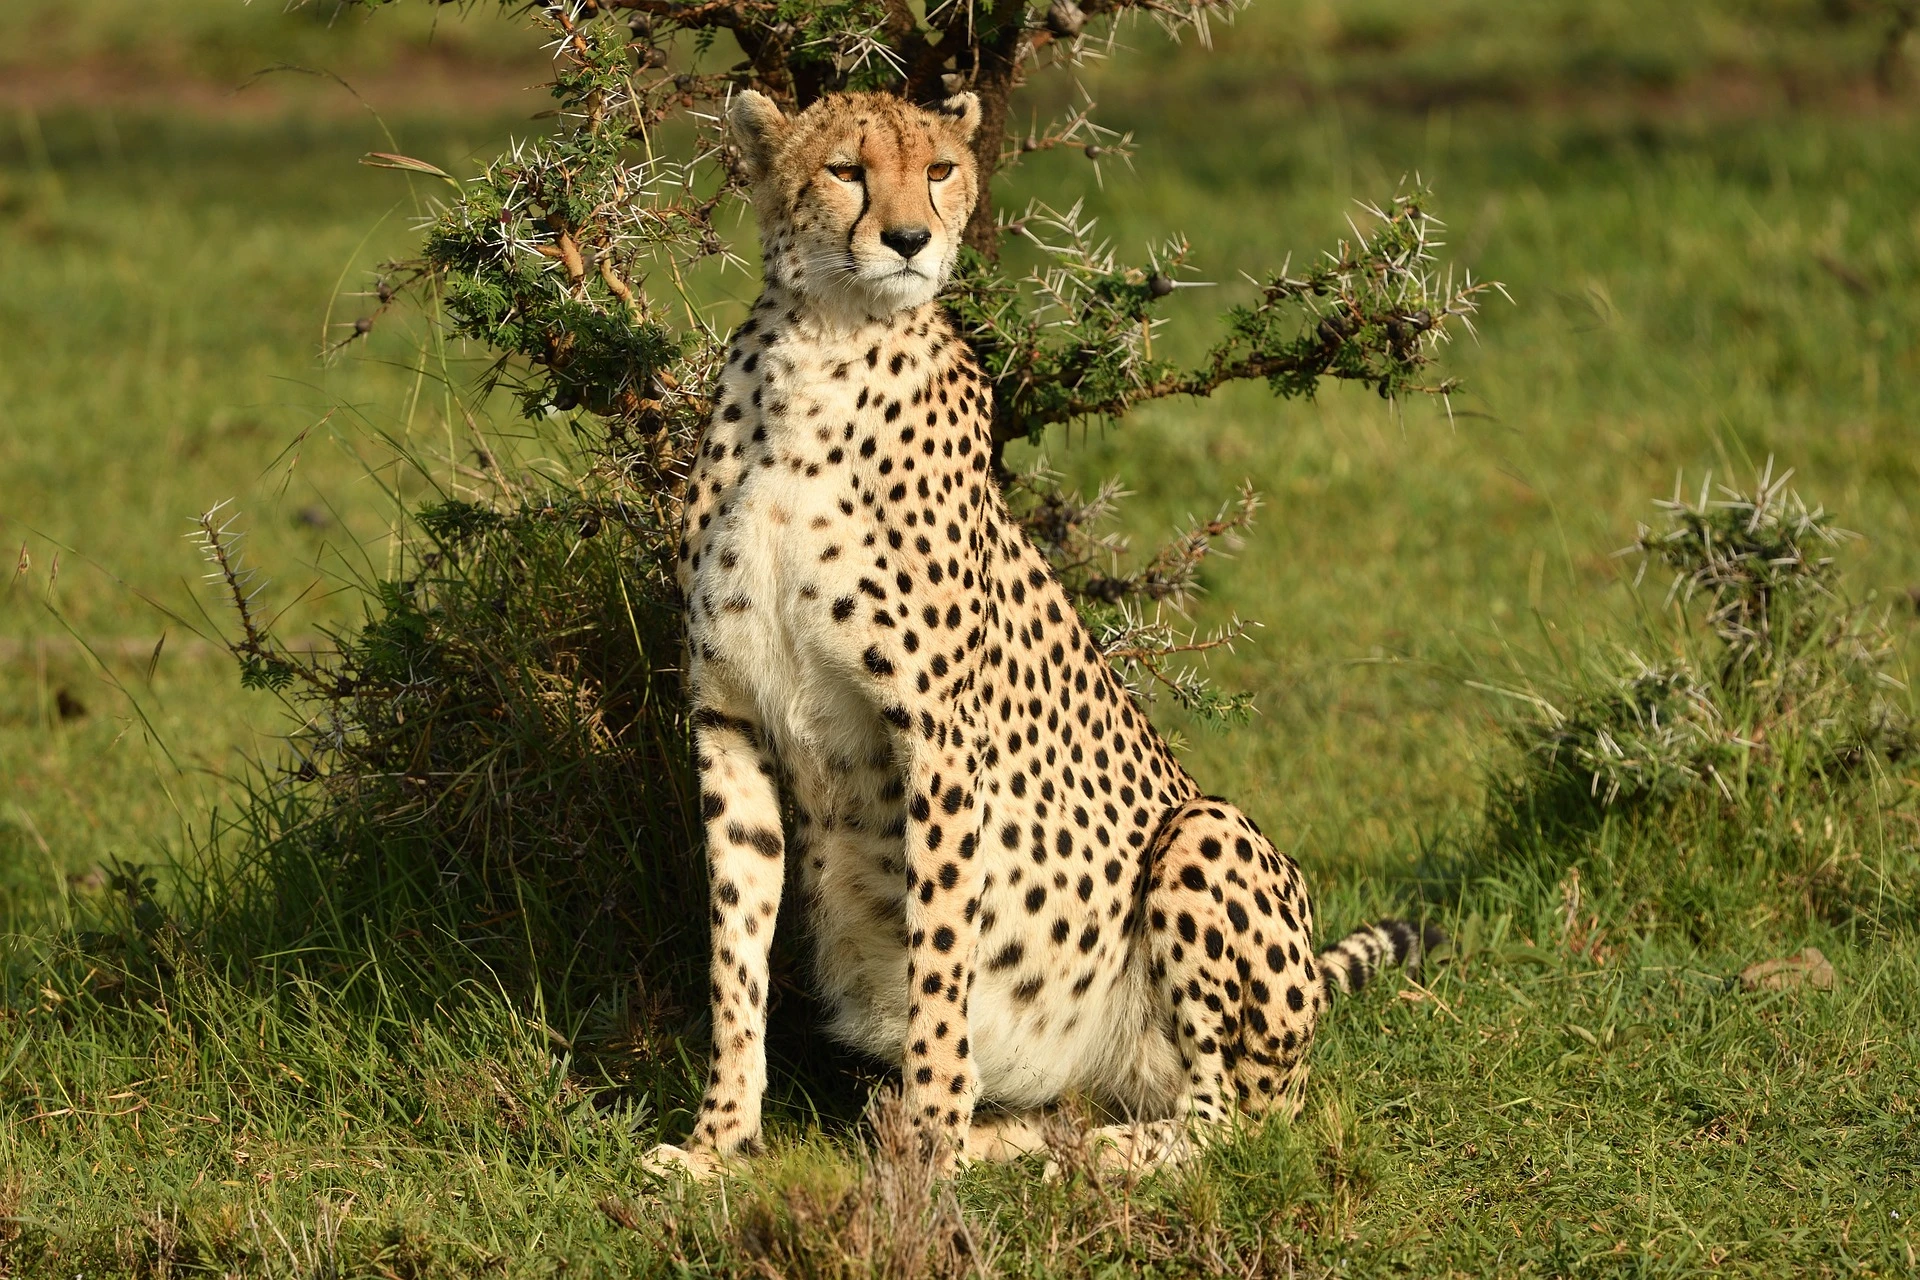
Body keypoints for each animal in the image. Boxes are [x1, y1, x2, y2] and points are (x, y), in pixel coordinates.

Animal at [645, 87, 1438, 1180]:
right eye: (846, 169)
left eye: (939, 169)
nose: (909, 239)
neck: (826, 348)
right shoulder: (730, 721)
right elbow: (736, 953)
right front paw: (717, 1142)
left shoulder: (937, 733)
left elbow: (941, 950)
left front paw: (932, 1140)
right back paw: (1010, 1136)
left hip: (1205, 835)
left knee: (1235, 1115)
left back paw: (1106, 1155)